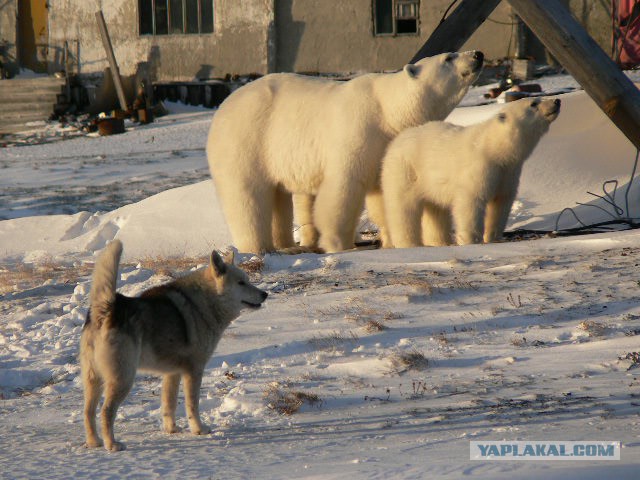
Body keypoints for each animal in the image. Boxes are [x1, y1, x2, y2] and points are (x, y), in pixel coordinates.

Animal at [80, 242, 270, 452]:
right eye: (241, 283)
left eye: (247, 280)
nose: (265, 294)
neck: (205, 301)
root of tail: (107, 308)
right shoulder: (193, 371)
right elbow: (192, 405)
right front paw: (198, 429)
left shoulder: (172, 374)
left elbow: (168, 405)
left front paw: (171, 429)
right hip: (123, 378)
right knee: (106, 411)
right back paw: (112, 444)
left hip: (93, 380)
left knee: (88, 412)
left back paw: (94, 442)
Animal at [208, 51, 482, 255]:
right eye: (448, 57)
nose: (477, 54)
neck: (389, 111)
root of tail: (223, 107)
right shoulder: (358, 131)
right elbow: (344, 188)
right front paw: (339, 244)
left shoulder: (384, 146)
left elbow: (383, 192)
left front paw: (389, 241)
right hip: (246, 142)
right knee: (246, 197)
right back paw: (258, 248)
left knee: (278, 196)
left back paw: (286, 245)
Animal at [380, 97, 560, 248]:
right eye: (533, 103)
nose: (557, 101)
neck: (494, 148)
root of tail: (396, 141)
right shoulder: (480, 166)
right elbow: (471, 200)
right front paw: (472, 241)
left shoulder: (508, 172)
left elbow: (501, 202)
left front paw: (493, 237)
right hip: (404, 170)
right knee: (403, 208)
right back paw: (410, 244)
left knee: (436, 210)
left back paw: (440, 242)